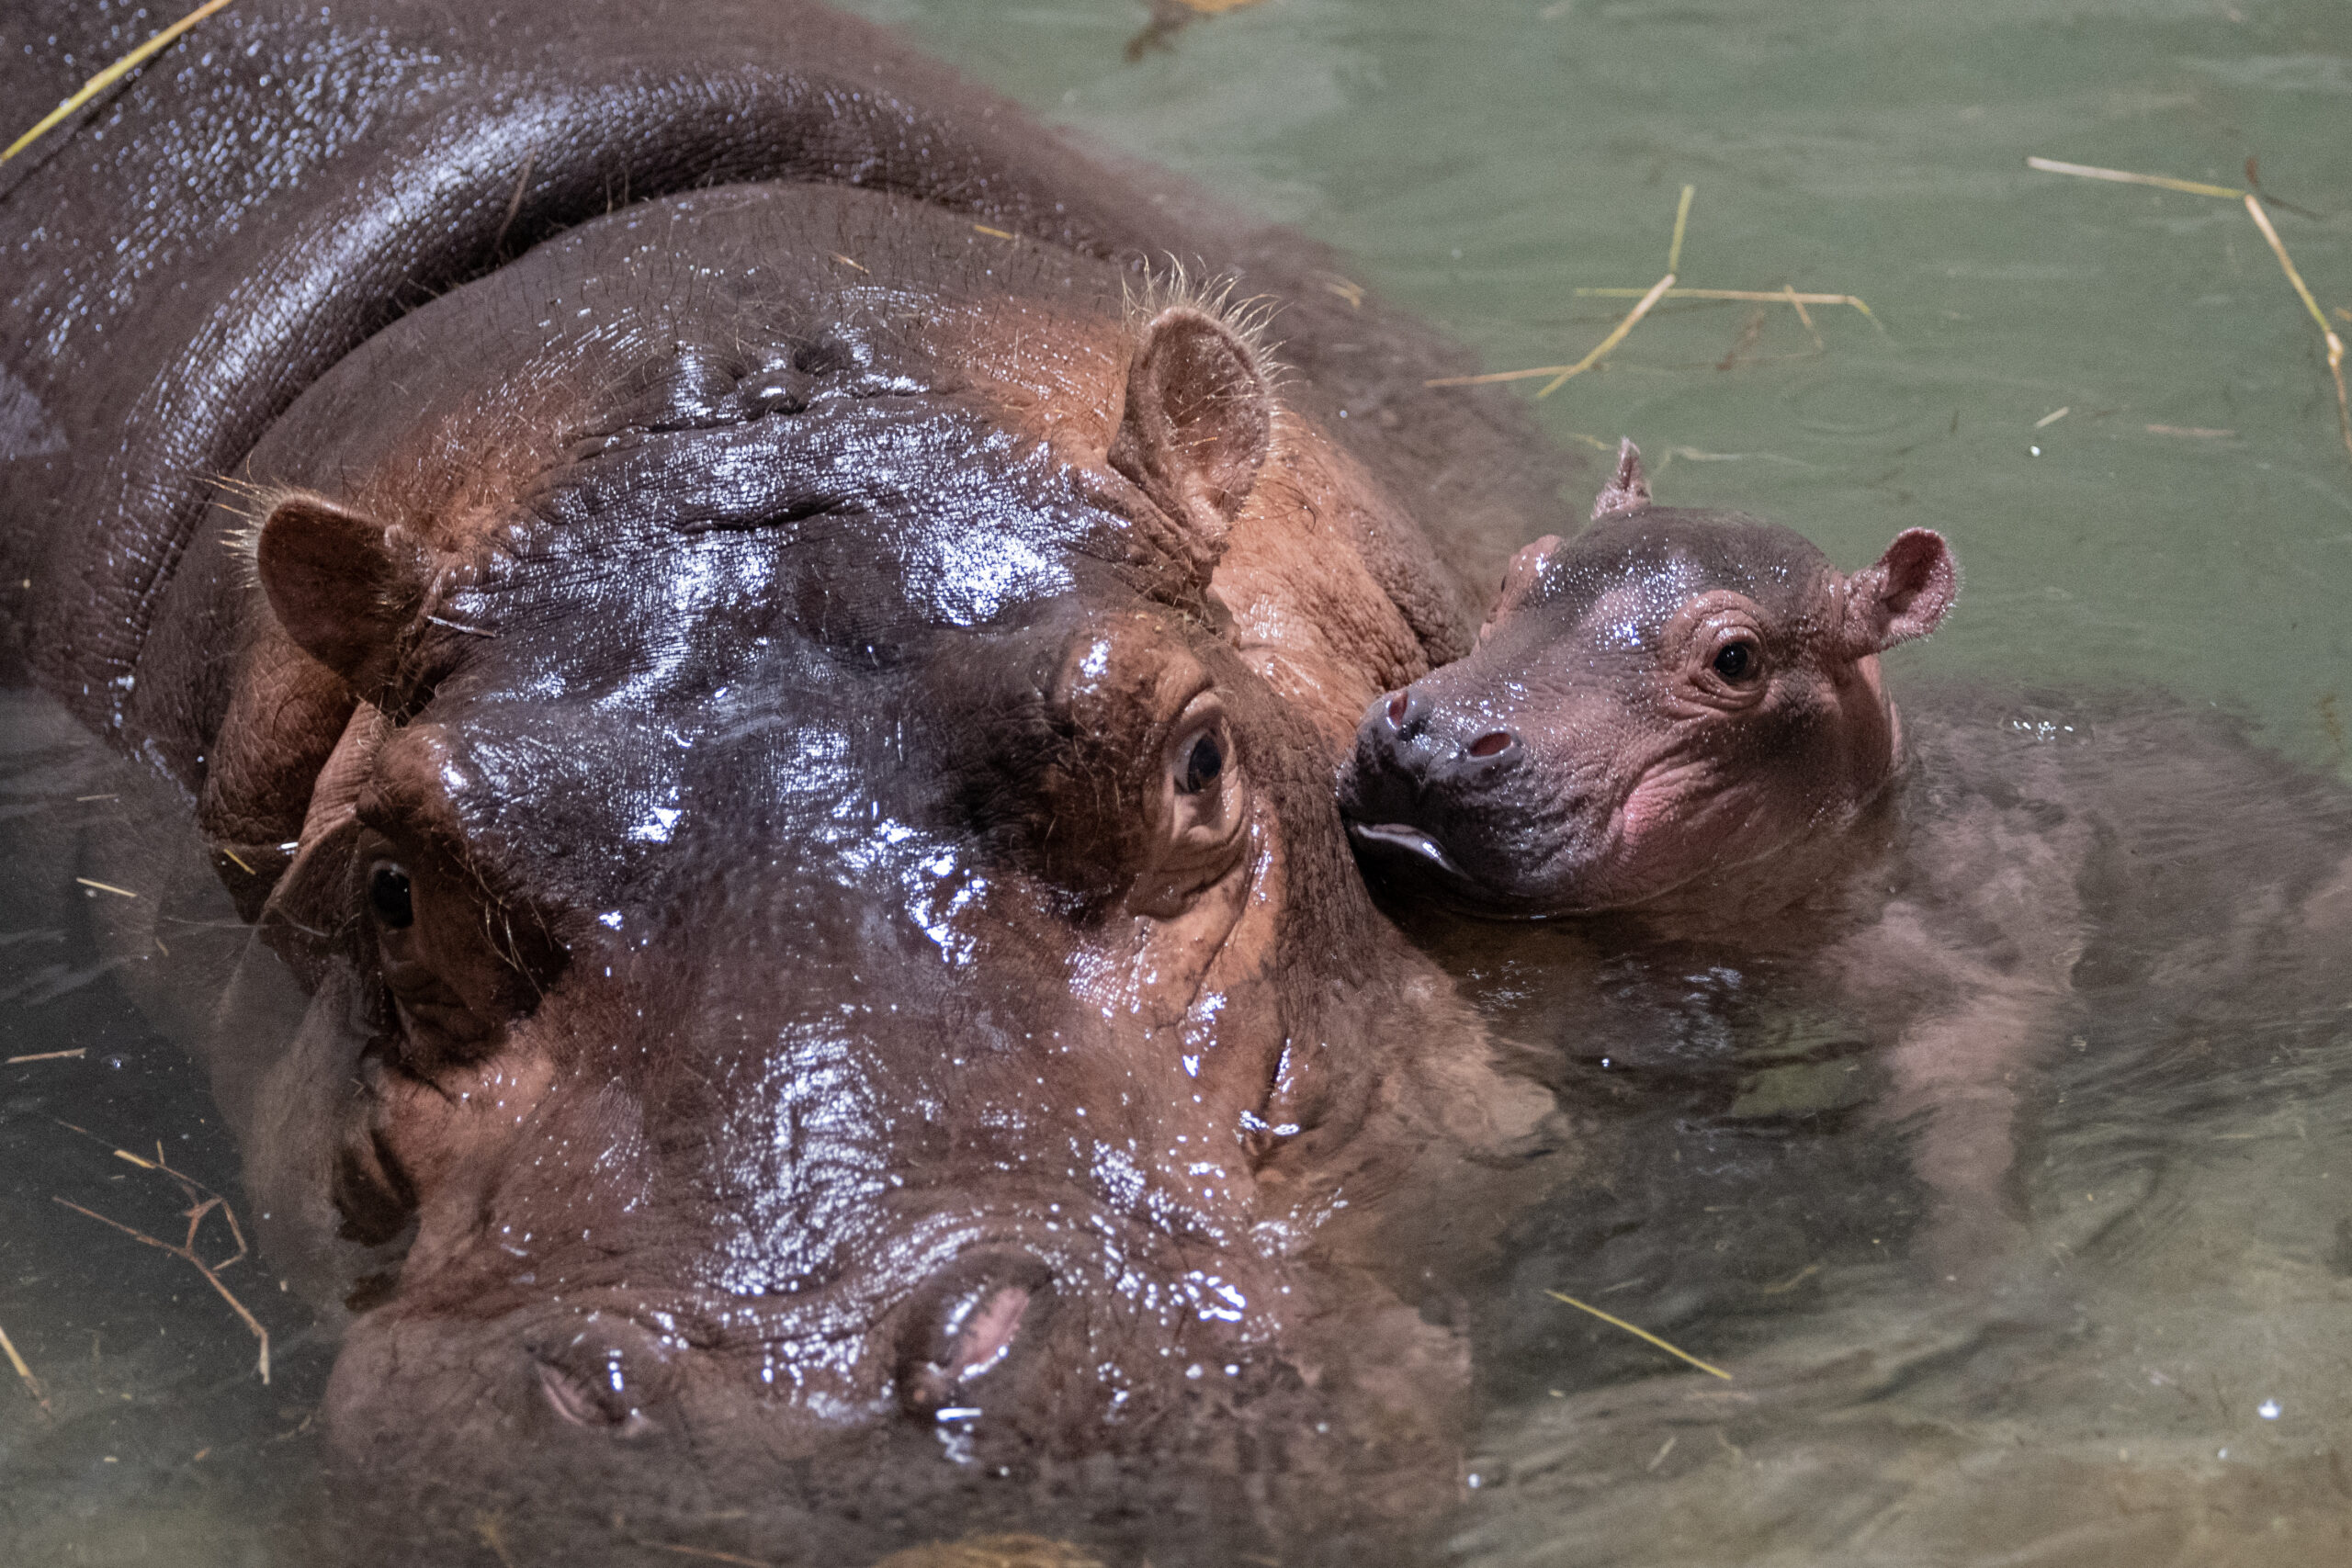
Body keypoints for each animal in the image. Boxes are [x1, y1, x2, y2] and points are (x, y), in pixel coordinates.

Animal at [1345, 439, 2352, 1279]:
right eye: (1518, 568)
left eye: (1736, 659)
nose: (1442, 737)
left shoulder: (1984, 980)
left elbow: (1966, 1121)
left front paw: (1982, 1268)